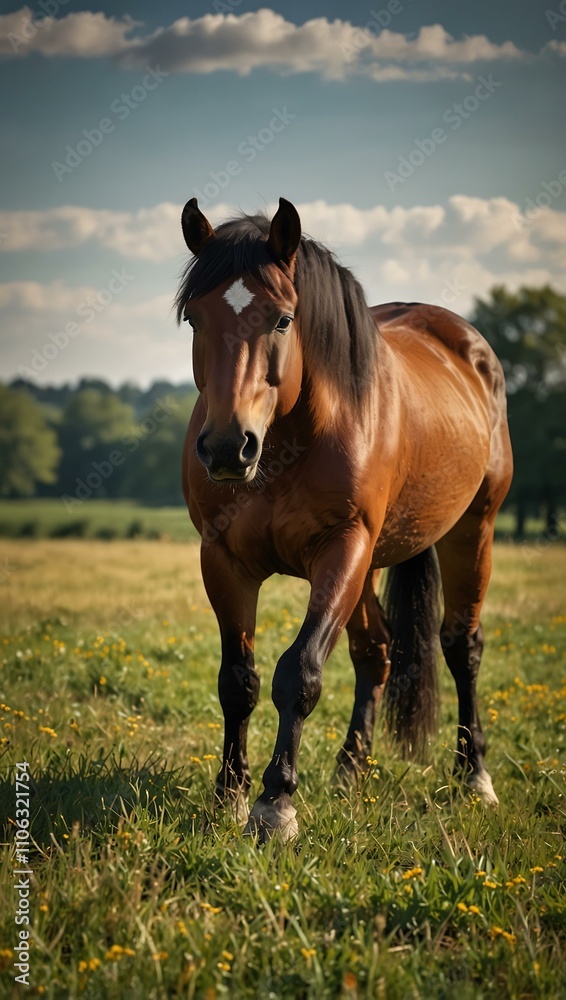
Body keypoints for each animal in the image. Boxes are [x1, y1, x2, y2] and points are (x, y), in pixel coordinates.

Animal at [177, 196, 513, 842]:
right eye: (194, 320)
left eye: (283, 320)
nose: (229, 448)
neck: (288, 443)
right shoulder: (223, 559)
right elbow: (238, 680)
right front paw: (228, 795)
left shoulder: (343, 548)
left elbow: (299, 672)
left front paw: (274, 805)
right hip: (369, 564)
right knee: (376, 650)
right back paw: (351, 771)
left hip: (470, 531)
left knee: (461, 646)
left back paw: (475, 777)